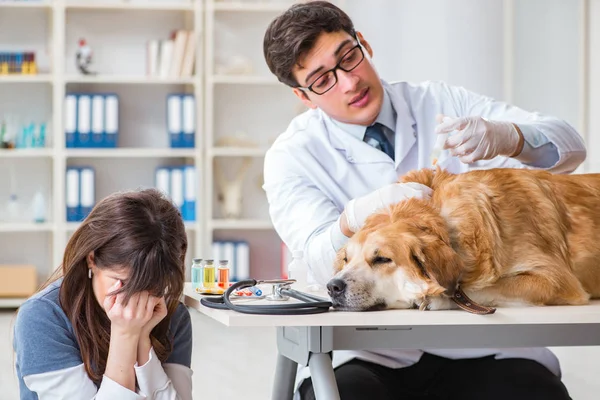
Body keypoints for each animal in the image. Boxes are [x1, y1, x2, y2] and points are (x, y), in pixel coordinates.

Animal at [328, 167, 600, 310]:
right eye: (346, 260)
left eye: (382, 259)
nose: (333, 286)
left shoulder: (555, 280)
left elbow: (478, 289)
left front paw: (435, 298)